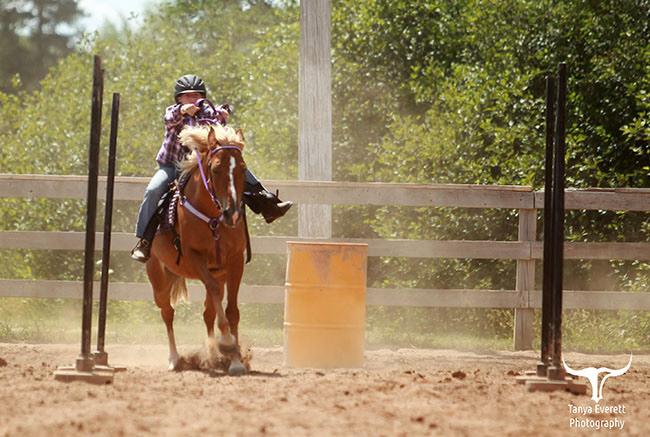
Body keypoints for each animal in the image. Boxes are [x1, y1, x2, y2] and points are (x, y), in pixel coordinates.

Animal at [146, 123, 248, 375]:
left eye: (243, 169)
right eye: (216, 169)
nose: (232, 214)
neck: (213, 219)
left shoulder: (235, 263)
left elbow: (231, 311)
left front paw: (235, 360)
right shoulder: (194, 258)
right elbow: (213, 294)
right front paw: (228, 343)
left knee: (208, 312)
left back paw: (211, 354)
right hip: (158, 277)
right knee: (167, 312)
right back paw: (175, 359)